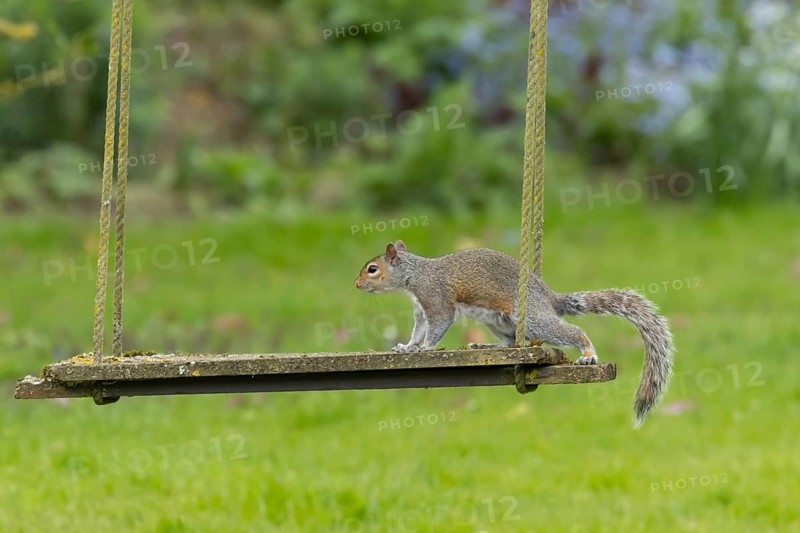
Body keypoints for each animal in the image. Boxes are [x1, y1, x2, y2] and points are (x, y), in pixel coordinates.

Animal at [354, 240, 674, 427]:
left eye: (372, 269)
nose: (356, 284)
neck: (414, 276)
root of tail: (549, 299)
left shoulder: (436, 300)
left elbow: (437, 327)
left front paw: (425, 349)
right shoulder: (420, 310)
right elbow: (418, 330)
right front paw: (407, 347)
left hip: (532, 320)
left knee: (572, 331)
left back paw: (587, 353)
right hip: (499, 321)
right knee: (509, 340)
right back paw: (489, 348)